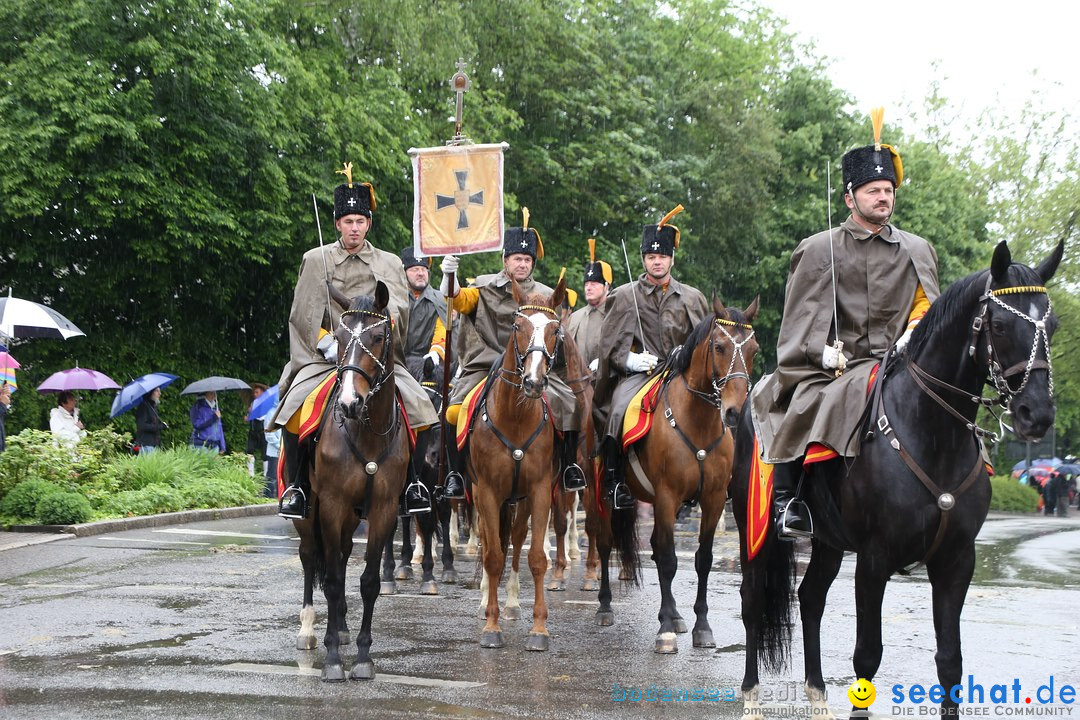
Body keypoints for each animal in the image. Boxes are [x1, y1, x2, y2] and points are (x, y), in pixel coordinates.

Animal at [291, 280, 408, 682]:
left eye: (378, 336)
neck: (365, 431)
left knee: (340, 556)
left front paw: (362, 657)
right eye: (339, 337)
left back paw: (340, 627)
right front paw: (331, 661)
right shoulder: (331, 504)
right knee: (311, 558)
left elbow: (368, 581)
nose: (349, 403)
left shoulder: (383, 509)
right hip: (310, 513)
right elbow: (330, 580)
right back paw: (309, 629)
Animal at [462, 274, 565, 647]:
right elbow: (493, 556)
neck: (515, 416)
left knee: (516, 541)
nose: (534, 382)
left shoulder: (538, 491)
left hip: (518, 500)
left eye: (555, 330)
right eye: (517, 326)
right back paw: (486, 602)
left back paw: (511, 604)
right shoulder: (489, 492)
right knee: (492, 542)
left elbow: (535, 557)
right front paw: (491, 626)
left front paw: (539, 628)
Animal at [609, 297, 760, 651]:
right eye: (719, 346)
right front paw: (664, 629)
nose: (735, 412)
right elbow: (668, 560)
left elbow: (702, 559)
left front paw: (700, 626)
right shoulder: (667, 497)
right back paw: (605, 608)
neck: (698, 422)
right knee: (603, 541)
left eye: (754, 349)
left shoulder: (713, 500)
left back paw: (675, 615)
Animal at [725, 239, 1062, 716]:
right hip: (752, 528)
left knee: (810, 600)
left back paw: (818, 696)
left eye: (1052, 323)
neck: (932, 434)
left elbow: (950, 662)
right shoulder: (874, 559)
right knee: (753, 601)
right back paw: (752, 697)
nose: (1037, 415)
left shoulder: (957, 560)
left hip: (828, 542)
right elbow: (867, 655)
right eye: (998, 324)